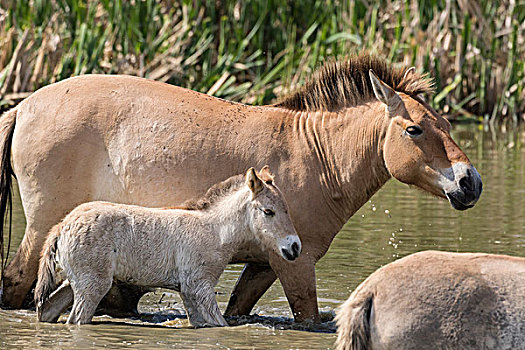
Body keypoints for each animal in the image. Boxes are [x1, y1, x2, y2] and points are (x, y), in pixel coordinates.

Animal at [35, 166, 298, 326]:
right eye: (268, 211)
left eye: (287, 208)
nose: (294, 247)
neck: (214, 230)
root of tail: (63, 225)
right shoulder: (199, 286)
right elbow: (220, 325)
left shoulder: (188, 292)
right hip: (93, 285)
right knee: (76, 320)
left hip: (75, 282)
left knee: (48, 310)